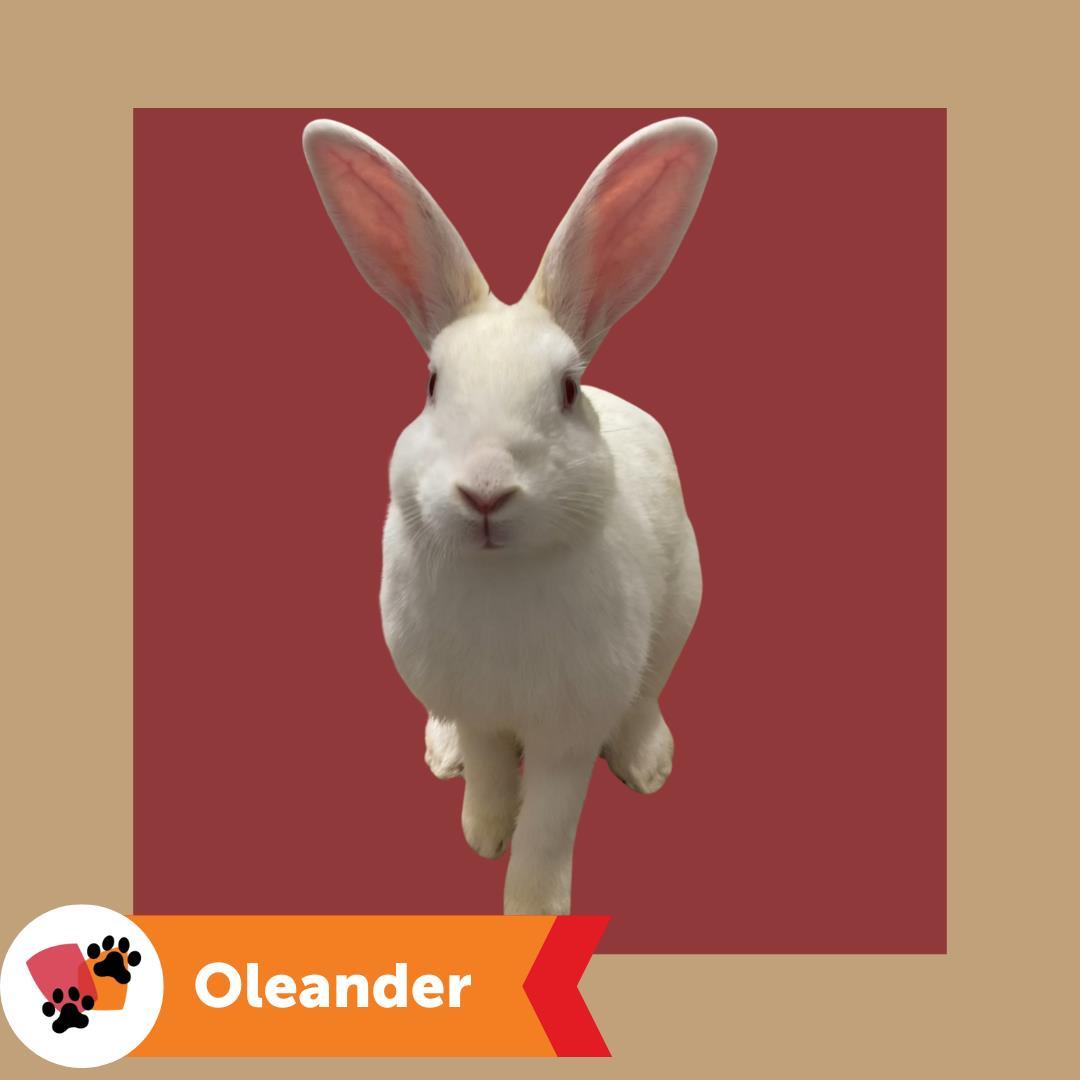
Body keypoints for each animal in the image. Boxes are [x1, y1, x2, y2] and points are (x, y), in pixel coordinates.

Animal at [303, 115, 715, 915]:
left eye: (566, 390)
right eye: (432, 383)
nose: (486, 492)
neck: (500, 575)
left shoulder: (568, 729)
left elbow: (551, 822)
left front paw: (533, 906)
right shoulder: (478, 705)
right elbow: (493, 771)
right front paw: (484, 834)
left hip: (680, 610)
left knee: (647, 697)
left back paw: (648, 764)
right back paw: (444, 755)